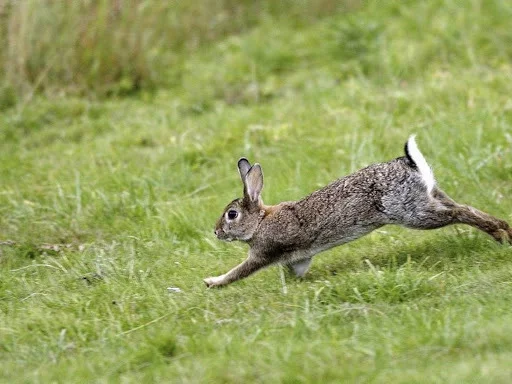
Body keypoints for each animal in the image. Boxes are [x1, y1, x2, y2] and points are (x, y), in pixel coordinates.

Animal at [204, 136, 512, 286]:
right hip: (429, 198)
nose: (216, 231)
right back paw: (505, 231)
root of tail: (408, 164)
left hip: (413, 213)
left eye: (232, 214)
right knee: (462, 207)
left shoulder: (263, 252)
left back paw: (499, 234)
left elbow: (239, 271)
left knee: (460, 213)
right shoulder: (299, 258)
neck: (260, 221)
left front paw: (212, 282)